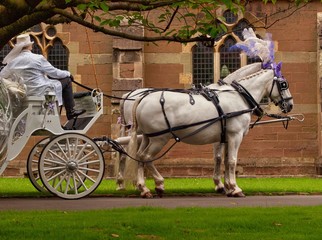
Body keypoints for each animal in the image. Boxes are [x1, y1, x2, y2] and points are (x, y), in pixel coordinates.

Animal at [124, 65, 294, 197]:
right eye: (283, 84)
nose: (290, 105)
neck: (239, 97)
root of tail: (142, 98)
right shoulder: (235, 136)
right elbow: (232, 161)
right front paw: (235, 188)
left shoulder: (224, 137)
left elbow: (223, 160)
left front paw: (227, 187)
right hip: (159, 139)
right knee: (146, 157)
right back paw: (158, 184)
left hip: (147, 137)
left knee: (139, 156)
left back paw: (144, 188)